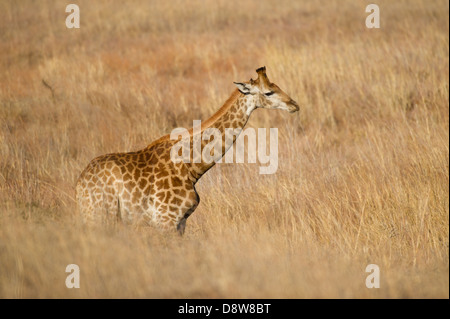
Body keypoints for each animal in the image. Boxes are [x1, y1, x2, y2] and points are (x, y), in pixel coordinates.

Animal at [76, 67, 298, 235]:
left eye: (276, 86)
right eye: (268, 92)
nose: (294, 105)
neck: (191, 168)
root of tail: (80, 184)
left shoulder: (181, 222)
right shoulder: (165, 220)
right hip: (100, 214)